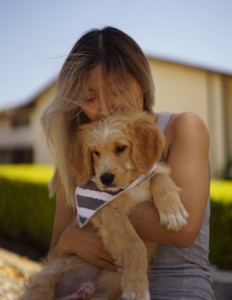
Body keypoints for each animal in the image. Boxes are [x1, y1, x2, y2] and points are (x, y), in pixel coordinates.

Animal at [20, 111, 188, 300]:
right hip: (43, 281)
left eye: (121, 148)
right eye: (95, 153)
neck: (130, 184)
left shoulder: (150, 176)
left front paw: (173, 212)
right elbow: (134, 244)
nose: (105, 179)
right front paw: (136, 288)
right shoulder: (108, 211)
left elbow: (159, 176)